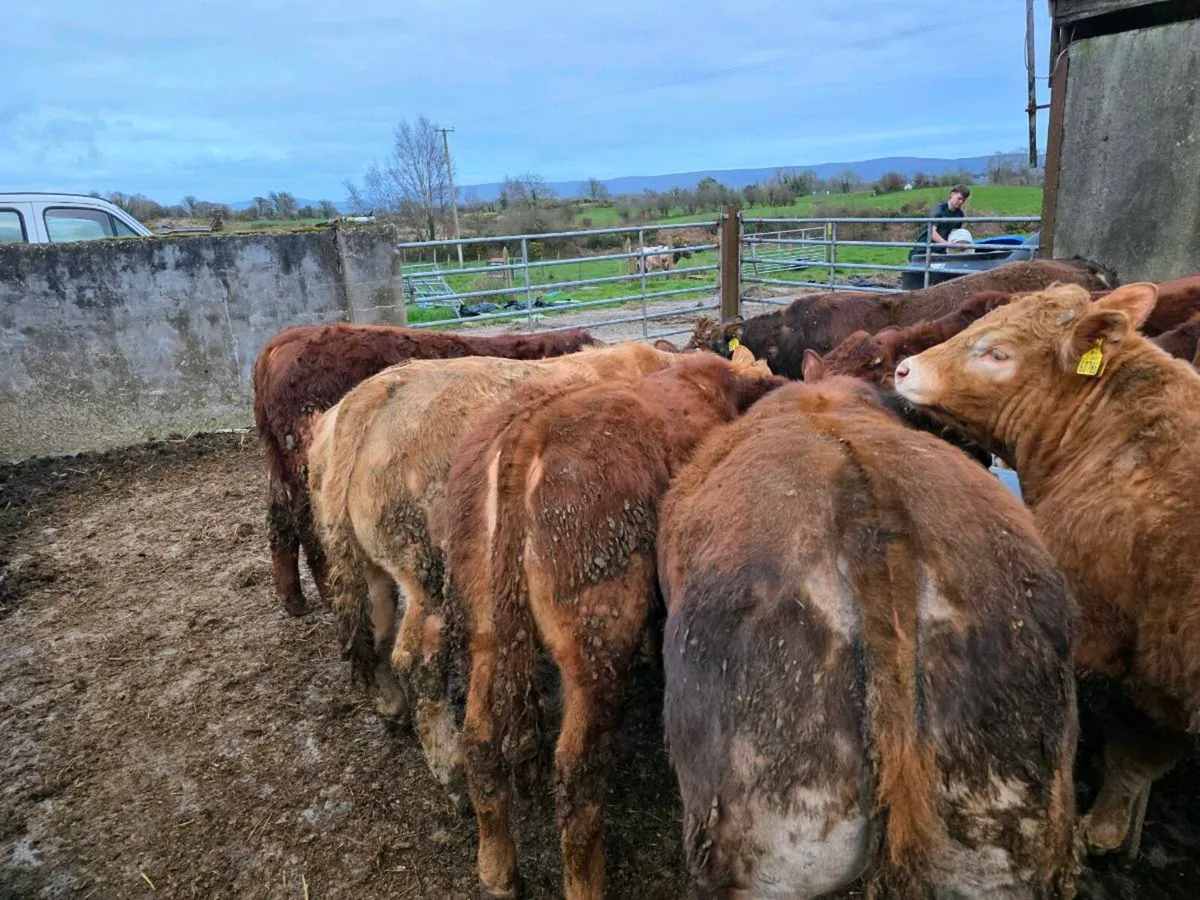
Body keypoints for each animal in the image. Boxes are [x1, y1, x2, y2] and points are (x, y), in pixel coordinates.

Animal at [306, 342, 675, 802]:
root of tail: (369, 395)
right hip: (426, 573)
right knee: (416, 662)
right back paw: (453, 772)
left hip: (368, 567)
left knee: (374, 636)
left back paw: (393, 710)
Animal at [441, 349, 783, 900]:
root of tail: (526, 434)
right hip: (595, 645)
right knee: (576, 775)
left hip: (483, 630)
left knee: (478, 739)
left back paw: (497, 869)